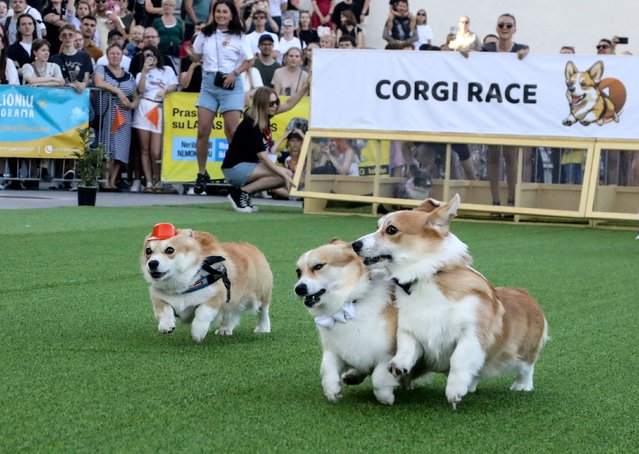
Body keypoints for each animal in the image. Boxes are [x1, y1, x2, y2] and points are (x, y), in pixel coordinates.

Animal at [140, 222, 272, 342]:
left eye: (169, 250)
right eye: (148, 251)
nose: (152, 263)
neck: (184, 284)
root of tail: (251, 246)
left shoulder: (215, 296)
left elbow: (202, 313)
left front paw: (198, 333)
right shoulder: (158, 296)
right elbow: (164, 310)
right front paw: (166, 325)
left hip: (260, 294)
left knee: (263, 311)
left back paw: (263, 327)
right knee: (230, 313)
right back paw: (225, 329)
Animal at [296, 241, 416, 404]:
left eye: (318, 266)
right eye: (298, 272)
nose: (298, 289)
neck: (348, 305)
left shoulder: (388, 355)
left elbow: (379, 378)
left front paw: (386, 398)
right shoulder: (332, 351)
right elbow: (327, 369)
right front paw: (332, 391)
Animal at [352, 197, 548, 410]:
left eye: (391, 230)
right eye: (377, 226)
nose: (355, 244)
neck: (426, 278)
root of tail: (525, 293)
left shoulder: (473, 333)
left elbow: (459, 359)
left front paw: (454, 390)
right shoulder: (411, 329)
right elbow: (406, 346)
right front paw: (399, 364)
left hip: (522, 350)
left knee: (526, 367)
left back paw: (522, 385)